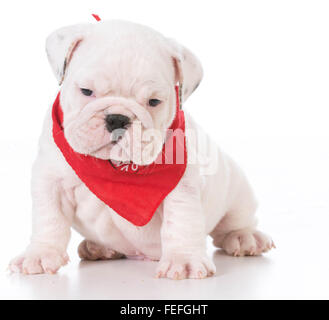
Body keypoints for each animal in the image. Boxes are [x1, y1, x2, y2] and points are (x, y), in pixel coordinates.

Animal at [9, 20, 272, 280]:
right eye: (86, 91)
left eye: (154, 102)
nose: (117, 118)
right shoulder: (50, 180)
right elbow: (49, 219)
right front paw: (40, 254)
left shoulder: (182, 187)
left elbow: (181, 221)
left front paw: (184, 260)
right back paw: (99, 247)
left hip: (237, 189)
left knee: (235, 221)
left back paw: (245, 237)